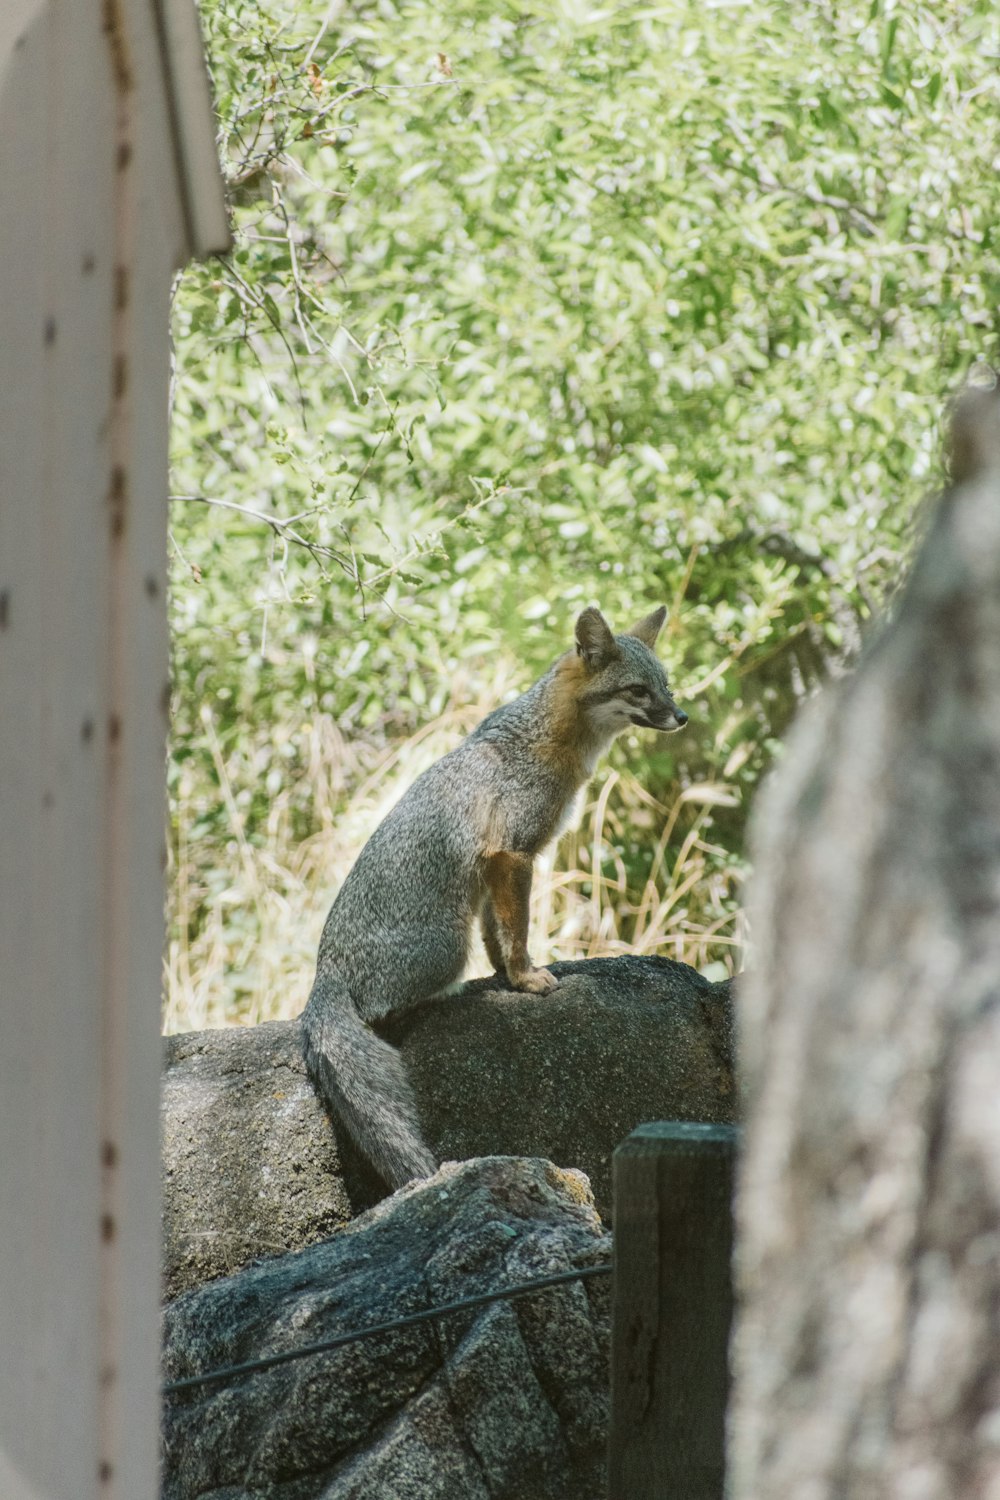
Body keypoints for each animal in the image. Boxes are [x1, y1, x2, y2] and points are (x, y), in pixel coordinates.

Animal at [299, 603, 689, 1188]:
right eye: (640, 691)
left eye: (665, 685)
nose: (682, 716)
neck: (543, 739)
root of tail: (325, 975)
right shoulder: (513, 853)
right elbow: (518, 927)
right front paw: (527, 979)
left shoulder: (492, 869)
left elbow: (498, 933)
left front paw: (507, 975)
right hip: (445, 946)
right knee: (384, 1008)